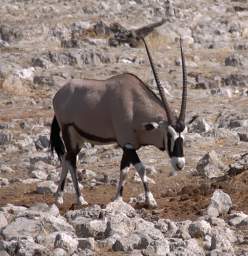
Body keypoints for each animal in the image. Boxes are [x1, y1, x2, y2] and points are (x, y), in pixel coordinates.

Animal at [49, 37, 187, 208]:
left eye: (184, 135)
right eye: (169, 134)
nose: (179, 164)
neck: (134, 105)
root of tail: (59, 94)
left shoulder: (129, 146)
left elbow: (124, 170)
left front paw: (118, 199)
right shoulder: (127, 144)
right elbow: (141, 169)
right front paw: (150, 200)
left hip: (78, 139)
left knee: (67, 159)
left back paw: (62, 197)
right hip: (68, 132)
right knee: (71, 161)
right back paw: (77, 199)